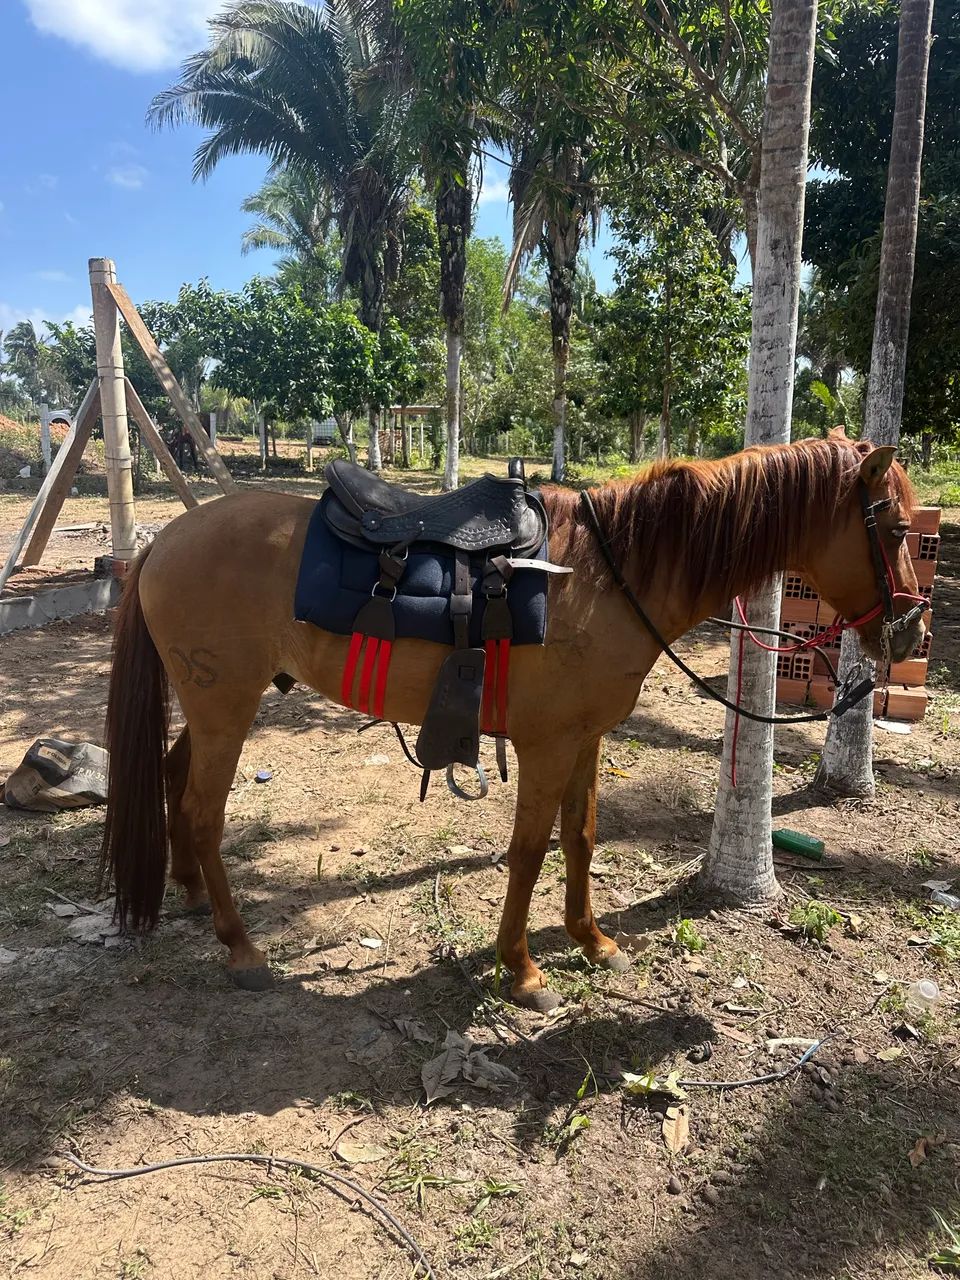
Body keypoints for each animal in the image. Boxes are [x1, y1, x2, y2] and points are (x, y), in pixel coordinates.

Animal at [100, 434, 924, 1011]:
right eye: (892, 529)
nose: (912, 630)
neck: (608, 575)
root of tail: (164, 541)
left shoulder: (587, 739)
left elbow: (581, 837)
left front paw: (593, 941)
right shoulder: (546, 745)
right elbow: (528, 851)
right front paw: (522, 968)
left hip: (215, 708)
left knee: (174, 778)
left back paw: (191, 893)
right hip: (225, 708)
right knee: (204, 812)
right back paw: (241, 949)